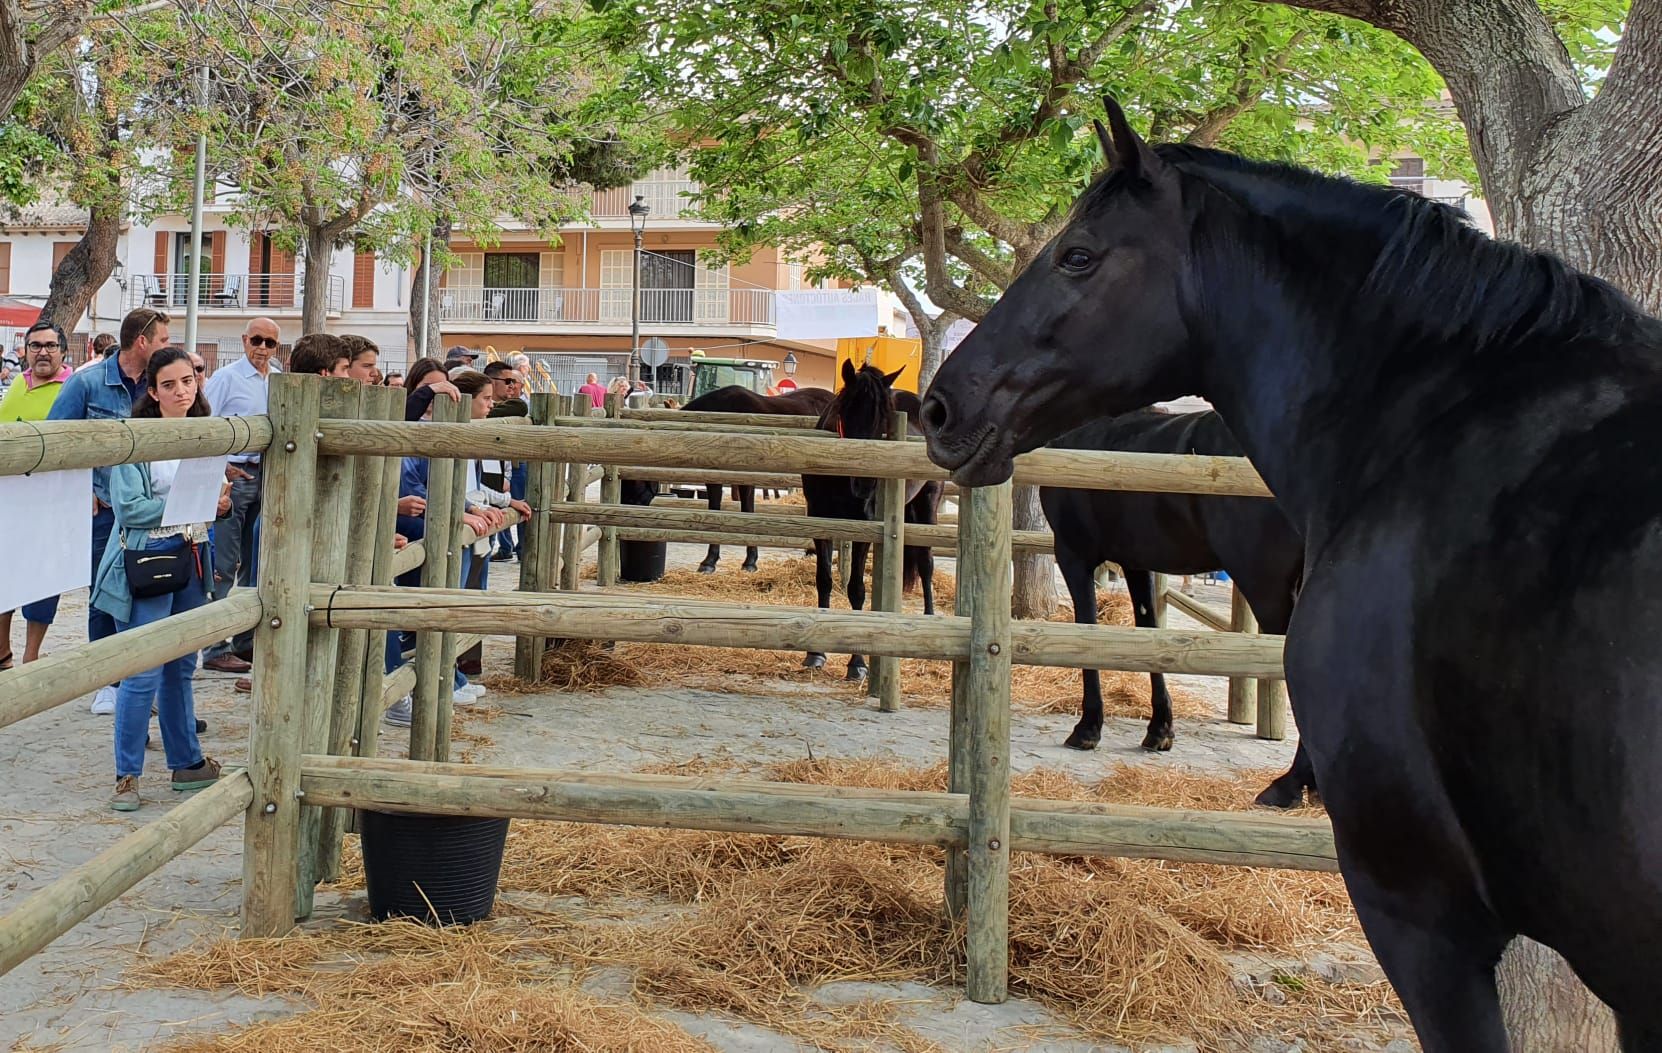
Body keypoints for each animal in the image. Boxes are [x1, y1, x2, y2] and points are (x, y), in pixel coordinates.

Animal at [678, 382, 831, 571]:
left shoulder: (747, 479)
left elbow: (747, 512)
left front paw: (750, 561)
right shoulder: (714, 479)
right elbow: (714, 512)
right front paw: (709, 561)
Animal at [807, 357, 950, 677]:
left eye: (884, 421)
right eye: (846, 410)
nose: (865, 484)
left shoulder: (864, 527)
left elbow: (857, 590)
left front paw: (857, 663)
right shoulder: (819, 521)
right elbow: (824, 579)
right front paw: (815, 653)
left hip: (927, 507)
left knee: (926, 564)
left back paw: (930, 619)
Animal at [1043, 405, 1316, 807]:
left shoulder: (1074, 555)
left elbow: (1088, 637)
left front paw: (1088, 728)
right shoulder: (1135, 563)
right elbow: (1150, 634)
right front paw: (1160, 730)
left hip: (1269, 590)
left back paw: (1291, 784)